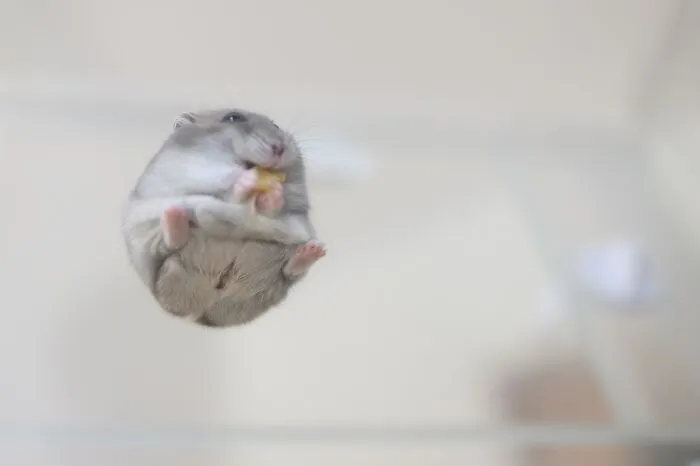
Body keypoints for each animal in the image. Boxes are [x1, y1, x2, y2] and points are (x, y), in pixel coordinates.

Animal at [121, 108, 326, 327]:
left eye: (276, 125)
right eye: (233, 117)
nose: (280, 147)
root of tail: (204, 315)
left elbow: (272, 207)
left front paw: (274, 192)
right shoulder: (192, 171)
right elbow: (228, 188)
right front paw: (249, 180)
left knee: (290, 270)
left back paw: (312, 251)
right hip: (152, 246)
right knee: (170, 245)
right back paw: (175, 216)